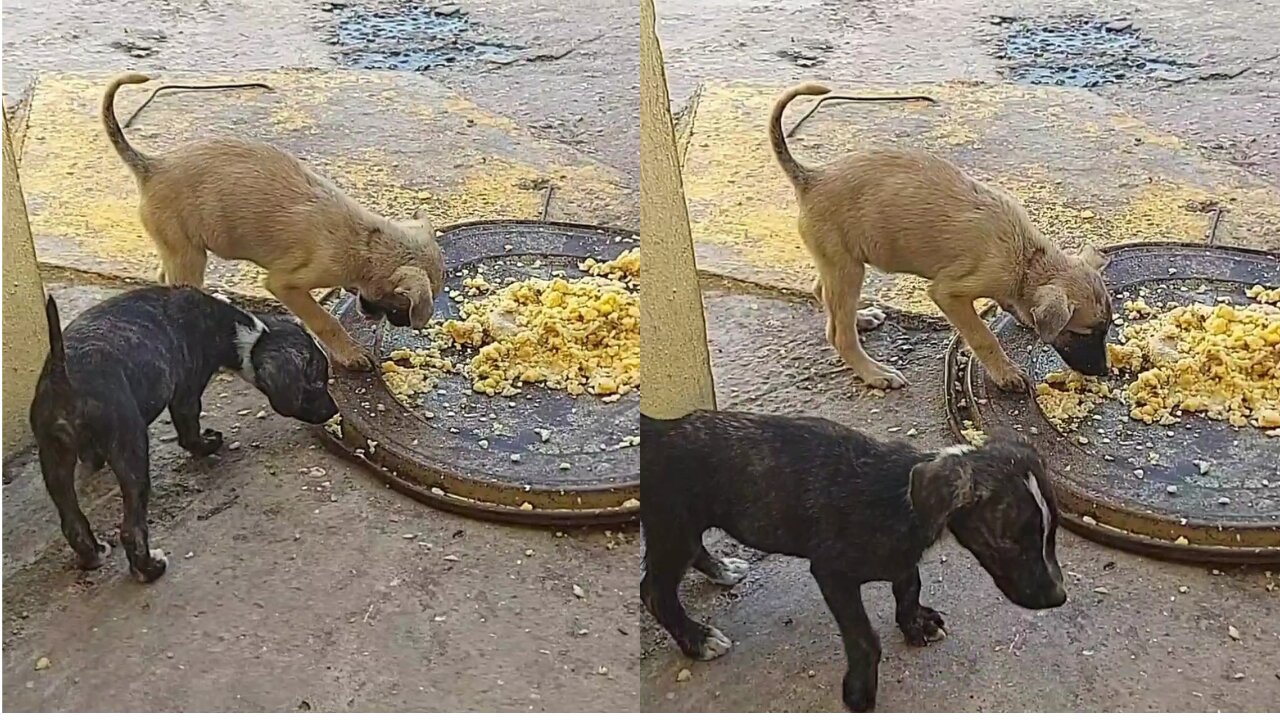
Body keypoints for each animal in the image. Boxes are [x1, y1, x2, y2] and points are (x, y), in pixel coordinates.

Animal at [30, 283, 340, 579]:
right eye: (318, 381)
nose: (334, 410)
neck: (237, 329)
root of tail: (62, 375)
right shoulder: (187, 392)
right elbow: (189, 432)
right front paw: (208, 444)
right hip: (129, 449)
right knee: (131, 528)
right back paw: (149, 569)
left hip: (53, 457)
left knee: (72, 521)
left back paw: (92, 554)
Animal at [99, 74, 442, 368]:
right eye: (401, 306)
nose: (399, 324)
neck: (368, 243)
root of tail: (153, 166)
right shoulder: (287, 284)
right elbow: (324, 320)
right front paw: (350, 353)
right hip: (190, 257)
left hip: (178, 249)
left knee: (165, 278)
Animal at [640, 407, 1070, 707]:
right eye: (1010, 541)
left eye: (1051, 534)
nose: (1058, 598)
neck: (901, 500)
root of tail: (657, 431)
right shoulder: (833, 573)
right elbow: (865, 639)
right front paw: (860, 692)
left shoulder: (902, 560)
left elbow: (909, 585)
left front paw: (915, 623)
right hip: (673, 522)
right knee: (654, 591)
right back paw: (697, 639)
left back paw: (722, 569)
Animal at [768, 81, 1111, 389]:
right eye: (1083, 333)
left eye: (1105, 330)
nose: (1104, 372)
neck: (1027, 258)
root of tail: (812, 177)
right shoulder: (951, 293)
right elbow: (983, 336)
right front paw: (1006, 373)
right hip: (847, 267)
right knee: (839, 334)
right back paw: (874, 373)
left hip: (839, 263)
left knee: (824, 295)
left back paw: (861, 318)